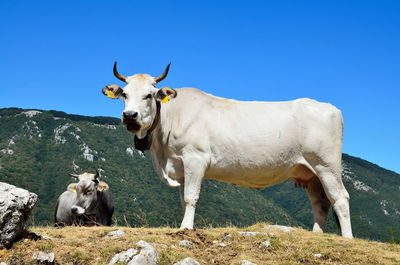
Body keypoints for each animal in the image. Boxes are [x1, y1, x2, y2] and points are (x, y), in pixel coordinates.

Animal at [102, 62, 354, 237]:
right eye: (124, 94)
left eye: (149, 95)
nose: (129, 116)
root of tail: (329, 107)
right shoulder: (181, 166)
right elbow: (183, 199)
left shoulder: (195, 158)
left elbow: (191, 197)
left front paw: (186, 228)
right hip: (310, 172)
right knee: (320, 203)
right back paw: (316, 235)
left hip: (326, 164)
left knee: (340, 198)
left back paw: (347, 238)